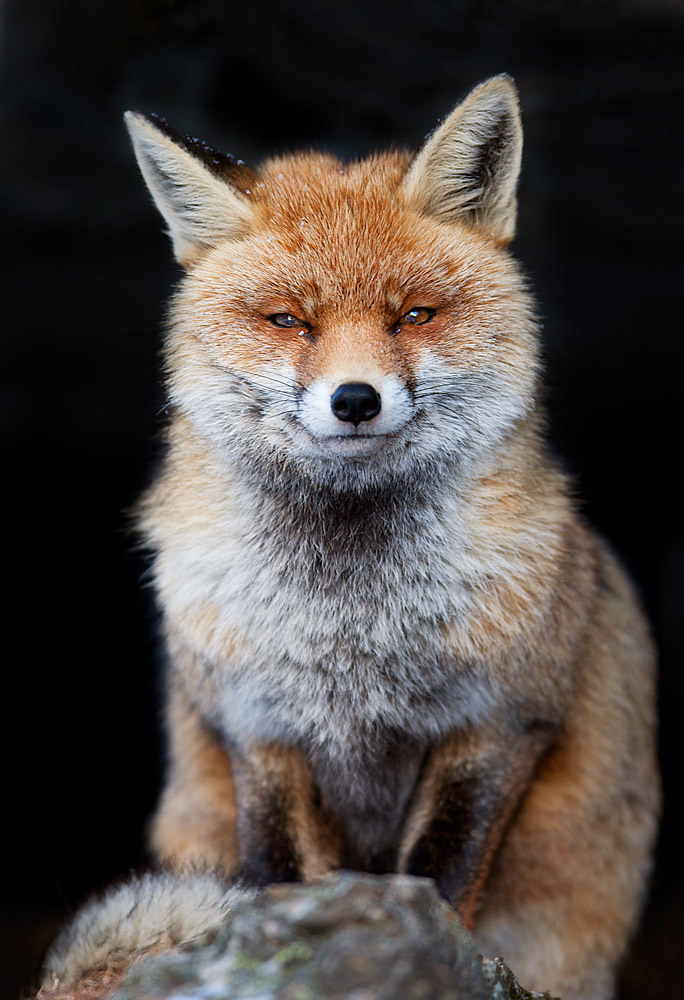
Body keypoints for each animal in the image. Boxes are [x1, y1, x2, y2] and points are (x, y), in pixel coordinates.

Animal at [42, 76, 659, 1000]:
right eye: (288, 320)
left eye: (414, 315)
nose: (356, 399)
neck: (349, 622)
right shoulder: (257, 726)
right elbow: (276, 872)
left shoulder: (501, 720)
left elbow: (438, 872)